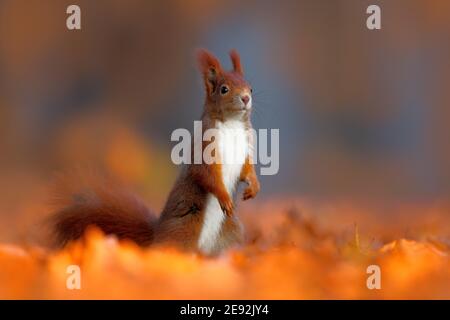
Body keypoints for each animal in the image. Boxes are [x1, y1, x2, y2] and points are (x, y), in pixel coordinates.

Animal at [49, 49, 258, 255]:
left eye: (250, 88)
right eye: (224, 89)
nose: (246, 98)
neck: (232, 123)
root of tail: (157, 235)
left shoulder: (245, 147)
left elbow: (246, 169)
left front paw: (253, 185)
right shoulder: (204, 147)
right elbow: (205, 173)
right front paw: (225, 197)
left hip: (230, 233)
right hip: (183, 231)